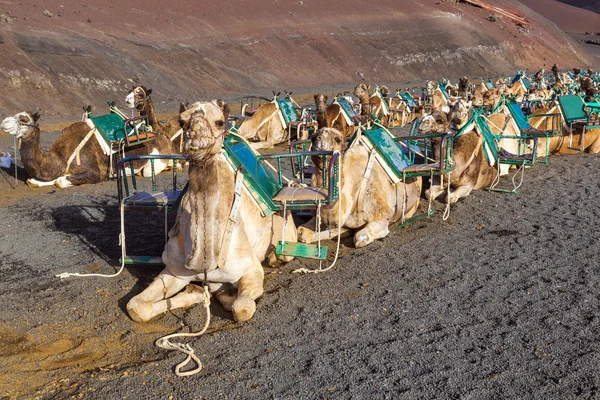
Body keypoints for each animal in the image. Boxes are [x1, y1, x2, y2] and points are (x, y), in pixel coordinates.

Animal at [127, 100, 296, 322]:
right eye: (182, 121)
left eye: (219, 122)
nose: (195, 134)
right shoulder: (173, 272)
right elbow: (135, 307)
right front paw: (197, 293)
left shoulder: (251, 269)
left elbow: (242, 308)